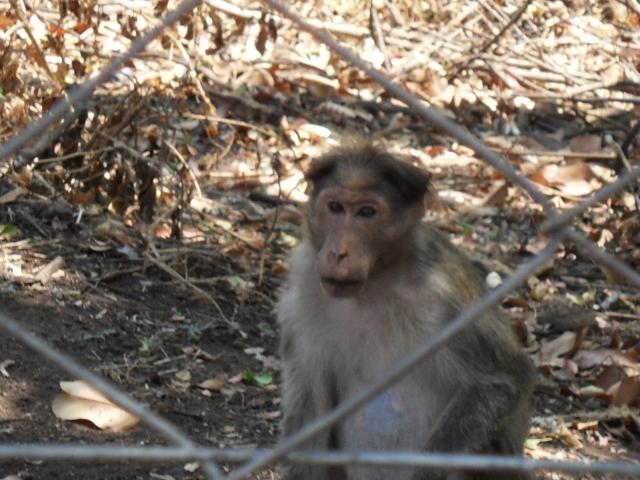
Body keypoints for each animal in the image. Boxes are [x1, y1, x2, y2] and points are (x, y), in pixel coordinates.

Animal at [277, 141, 535, 480]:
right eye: (335, 208)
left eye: (366, 212)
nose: (338, 252)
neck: (377, 280)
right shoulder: (304, 288)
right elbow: (309, 409)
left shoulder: (443, 294)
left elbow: (501, 380)